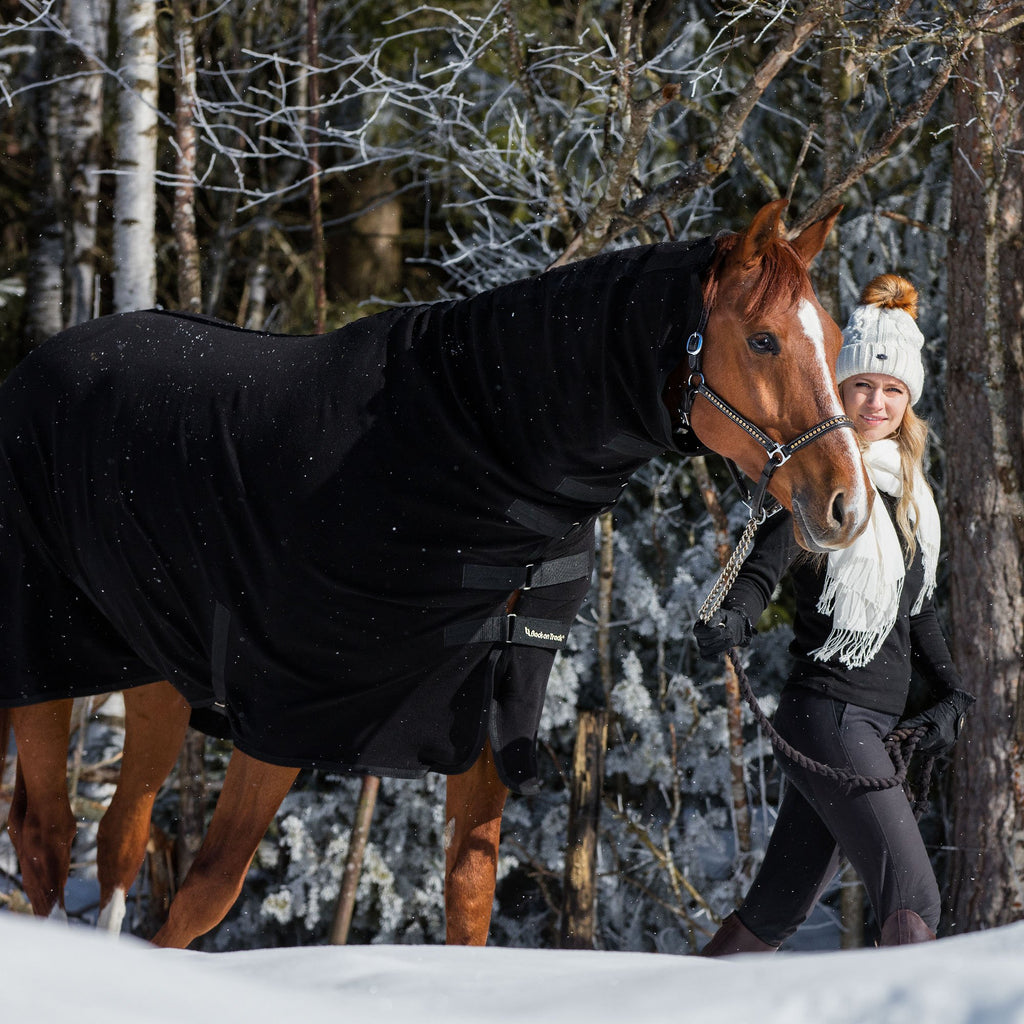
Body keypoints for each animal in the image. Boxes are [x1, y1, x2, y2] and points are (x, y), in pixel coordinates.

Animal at [0, 197, 868, 942]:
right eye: (763, 340)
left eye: (830, 339)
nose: (846, 506)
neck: (470, 448)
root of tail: (34, 367)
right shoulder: (287, 710)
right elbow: (208, 890)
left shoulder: (485, 702)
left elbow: (470, 893)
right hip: (48, 663)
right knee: (46, 835)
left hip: (152, 671)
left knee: (118, 837)